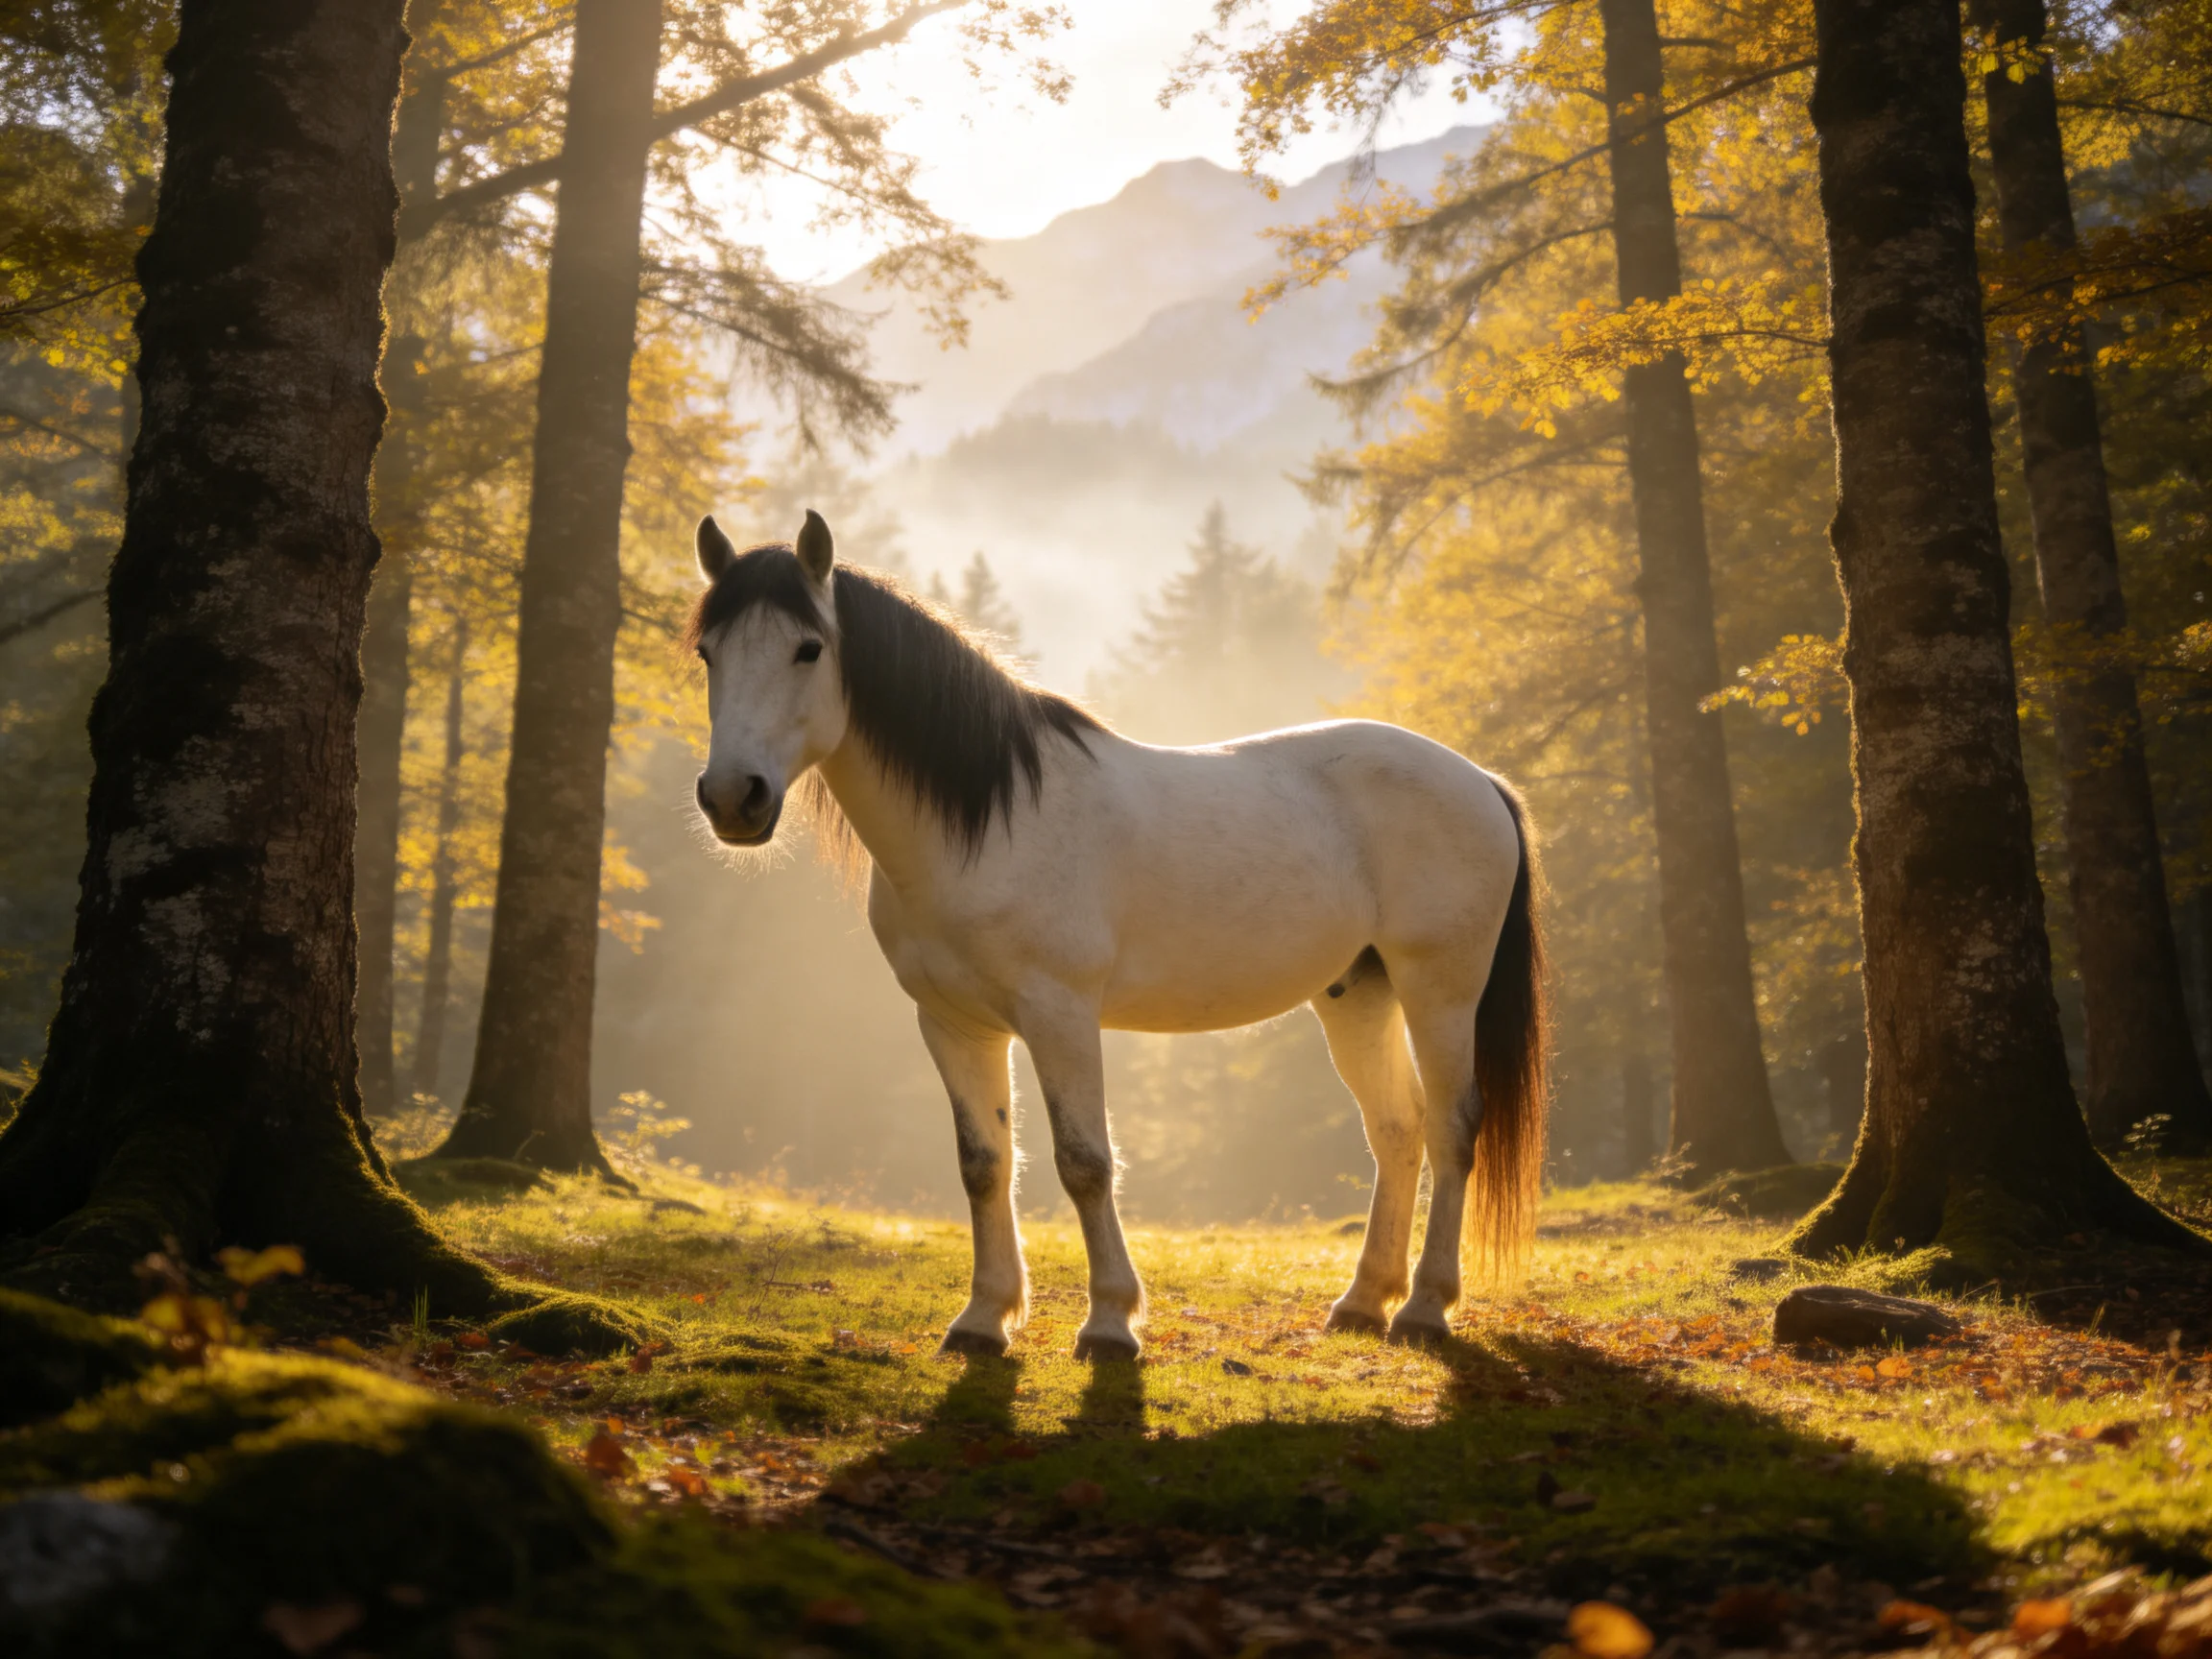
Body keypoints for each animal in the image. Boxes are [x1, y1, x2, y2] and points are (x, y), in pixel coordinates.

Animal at [686, 510, 1547, 1360]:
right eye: (707, 652)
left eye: (808, 648)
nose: (733, 797)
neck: (988, 825)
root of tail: (1481, 780)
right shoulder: (954, 1024)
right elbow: (984, 1163)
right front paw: (983, 1319)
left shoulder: (1060, 1016)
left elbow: (1084, 1162)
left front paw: (1109, 1323)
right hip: (1357, 993)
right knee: (1396, 1130)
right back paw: (1364, 1302)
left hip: (1440, 990)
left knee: (1452, 1126)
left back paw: (1425, 1309)